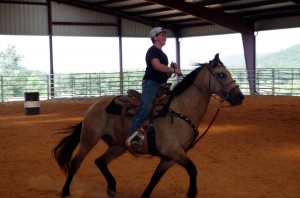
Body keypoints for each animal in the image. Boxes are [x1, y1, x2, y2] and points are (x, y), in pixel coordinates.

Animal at [51, 53, 244, 197]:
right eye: (221, 74)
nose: (240, 97)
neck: (181, 111)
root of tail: (94, 107)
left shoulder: (169, 157)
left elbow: (154, 179)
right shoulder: (173, 151)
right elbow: (192, 169)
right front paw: (192, 193)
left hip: (118, 145)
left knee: (100, 161)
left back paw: (112, 188)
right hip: (89, 139)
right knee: (76, 163)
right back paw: (66, 191)